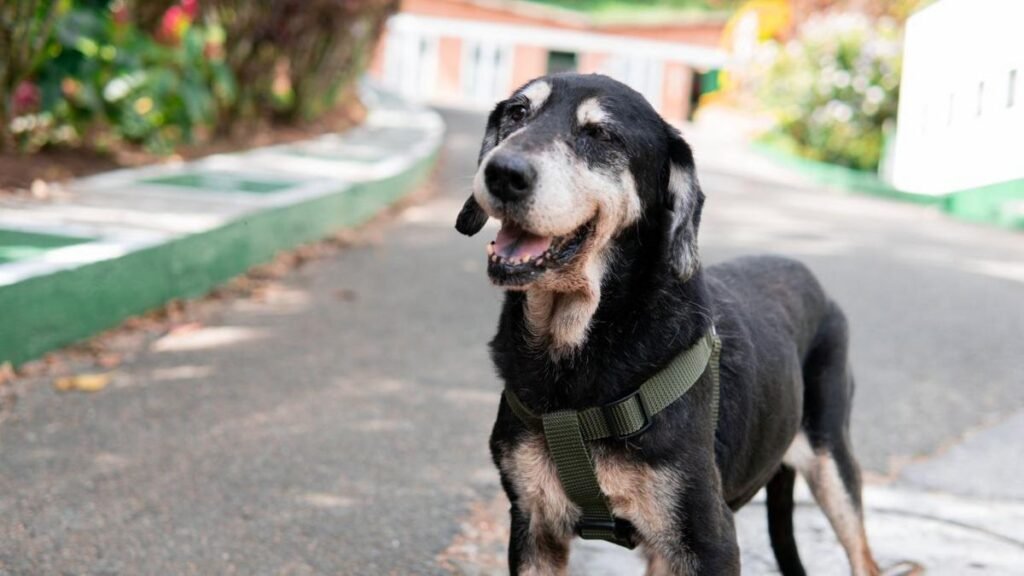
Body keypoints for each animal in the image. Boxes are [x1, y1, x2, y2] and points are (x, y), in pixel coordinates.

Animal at [455, 73, 880, 576]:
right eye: (517, 113)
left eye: (602, 135)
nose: (502, 173)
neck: (577, 353)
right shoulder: (532, 526)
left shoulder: (709, 538)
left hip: (832, 460)